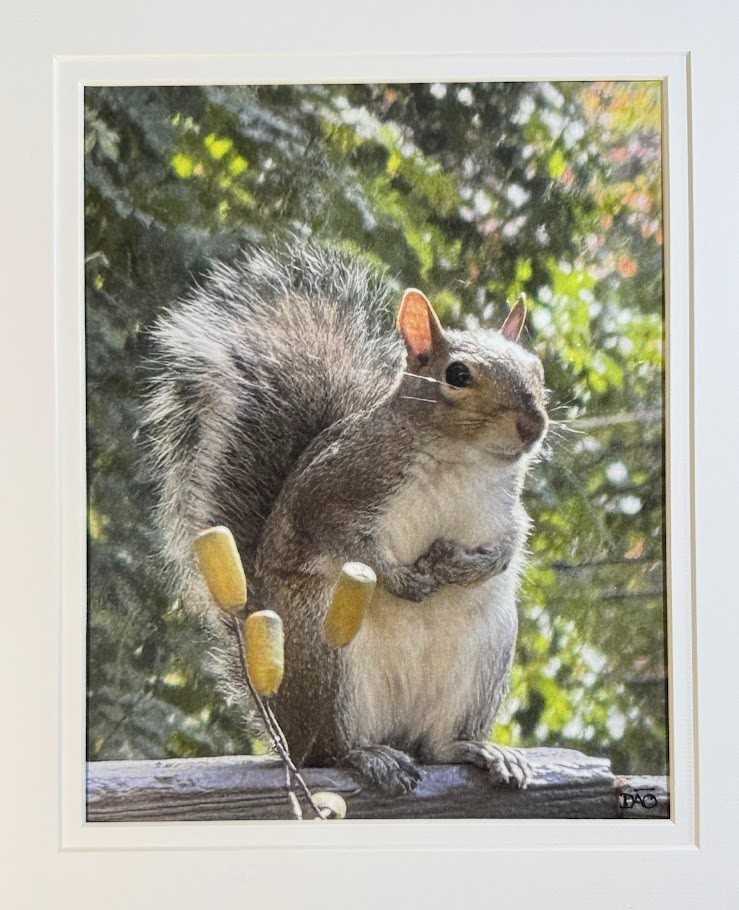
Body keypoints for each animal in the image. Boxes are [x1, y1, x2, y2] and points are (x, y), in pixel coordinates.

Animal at [145, 241, 549, 795]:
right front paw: (401, 579)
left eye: (538, 368)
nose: (534, 425)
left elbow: (514, 540)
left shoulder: (506, 509)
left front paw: (476, 565)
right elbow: (341, 535)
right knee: (333, 750)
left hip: (485, 656)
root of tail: (287, 731)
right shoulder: (336, 485)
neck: (464, 462)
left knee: (440, 746)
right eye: (458, 375)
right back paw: (371, 757)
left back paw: (481, 749)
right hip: (325, 652)